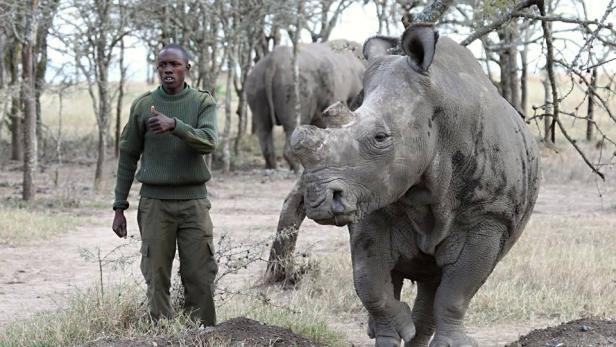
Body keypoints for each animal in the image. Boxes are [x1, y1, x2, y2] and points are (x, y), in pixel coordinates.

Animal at [247, 39, 366, 173]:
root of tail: (272, 62)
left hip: (255, 80)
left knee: (263, 127)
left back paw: (273, 169)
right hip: (293, 82)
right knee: (293, 124)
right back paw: (297, 170)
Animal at [288, 23, 540, 346]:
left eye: (380, 138)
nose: (318, 200)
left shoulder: (490, 217)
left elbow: (456, 293)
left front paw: (452, 344)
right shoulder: (372, 199)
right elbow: (368, 281)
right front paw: (397, 326)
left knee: (435, 283)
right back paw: (386, 332)